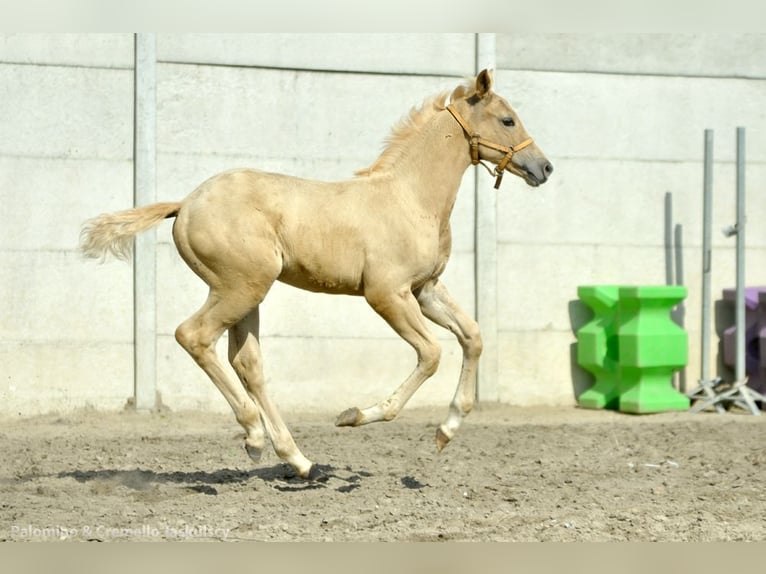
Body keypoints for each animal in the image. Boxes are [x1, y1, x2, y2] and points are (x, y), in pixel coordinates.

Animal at [81, 68, 552, 482]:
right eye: (507, 119)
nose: (544, 168)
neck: (409, 197)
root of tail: (185, 203)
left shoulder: (425, 290)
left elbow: (472, 336)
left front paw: (445, 432)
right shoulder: (387, 294)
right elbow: (432, 354)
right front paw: (354, 415)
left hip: (247, 294)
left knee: (247, 363)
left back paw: (300, 461)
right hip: (240, 287)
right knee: (193, 336)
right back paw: (254, 436)